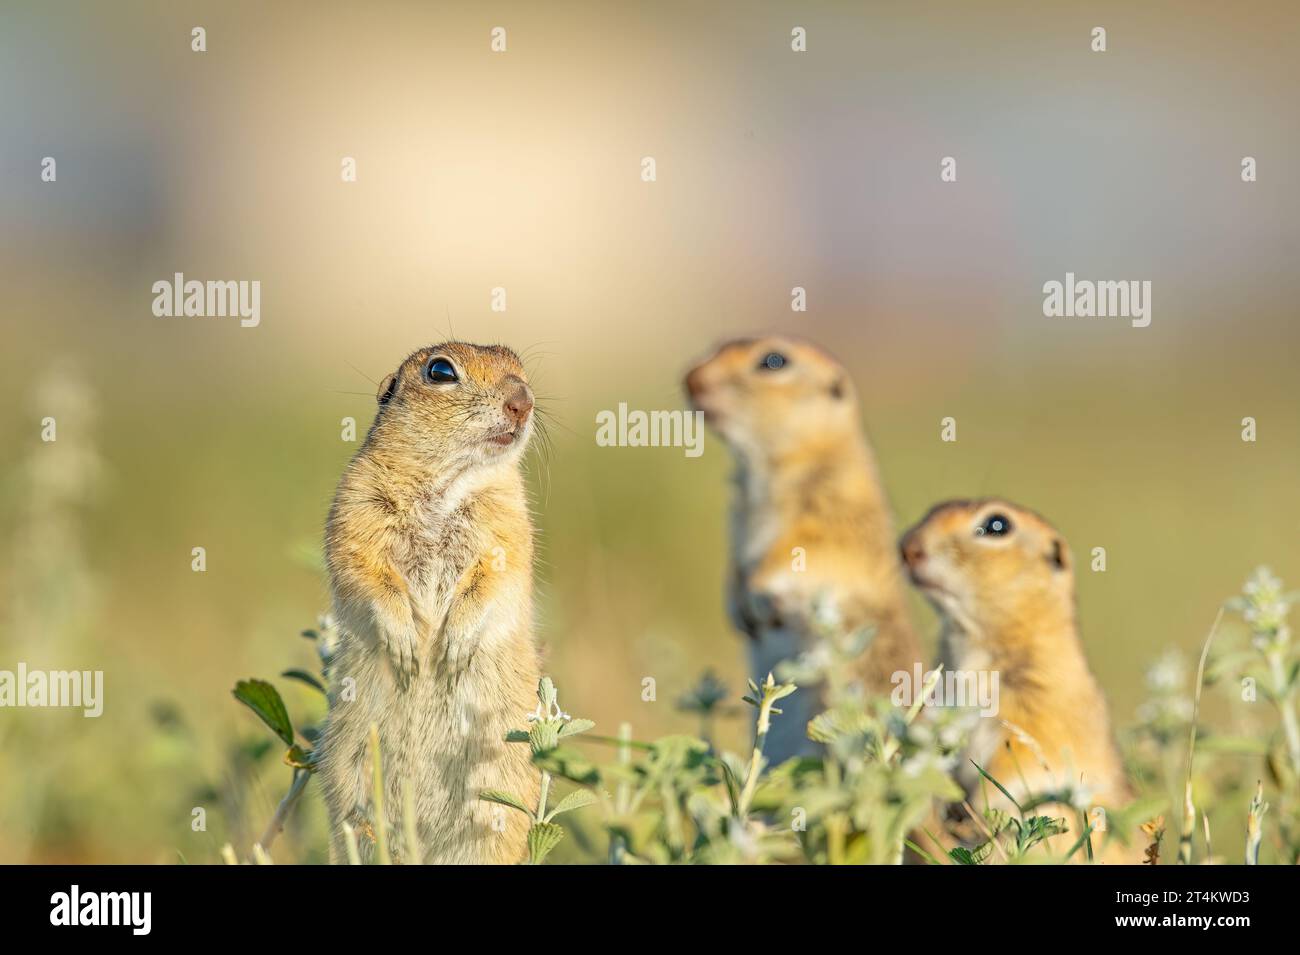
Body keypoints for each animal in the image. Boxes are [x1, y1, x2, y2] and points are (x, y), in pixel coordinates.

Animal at [316, 342, 542, 864]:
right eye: (440, 371)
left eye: (520, 367)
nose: (522, 402)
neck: (448, 481)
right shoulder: (356, 505)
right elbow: (363, 569)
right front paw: (406, 647)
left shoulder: (509, 524)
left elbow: (496, 579)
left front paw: (452, 649)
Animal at [684, 336, 922, 763]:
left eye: (774, 360)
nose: (690, 379)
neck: (764, 469)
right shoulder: (738, 519)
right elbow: (735, 566)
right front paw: (737, 606)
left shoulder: (832, 514)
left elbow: (800, 551)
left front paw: (756, 595)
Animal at [899, 498, 1132, 858]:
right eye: (932, 509)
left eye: (997, 525)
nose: (907, 548)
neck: (973, 639)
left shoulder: (1040, 706)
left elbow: (1018, 765)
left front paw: (977, 817)